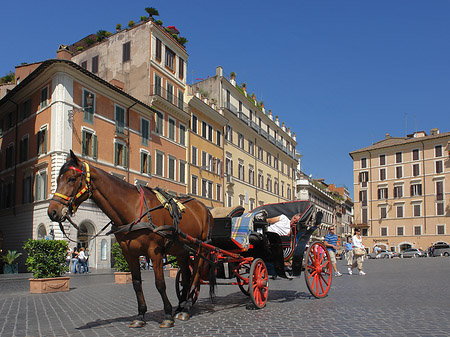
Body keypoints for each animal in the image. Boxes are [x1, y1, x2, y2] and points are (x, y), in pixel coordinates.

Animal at [47, 150, 214, 328]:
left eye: (71, 179)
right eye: (57, 180)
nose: (53, 211)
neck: (132, 209)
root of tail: (205, 209)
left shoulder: (155, 252)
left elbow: (160, 283)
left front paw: (167, 314)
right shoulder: (129, 253)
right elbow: (136, 283)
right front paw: (141, 315)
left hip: (201, 248)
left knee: (196, 275)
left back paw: (186, 308)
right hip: (181, 250)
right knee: (186, 277)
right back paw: (181, 306)